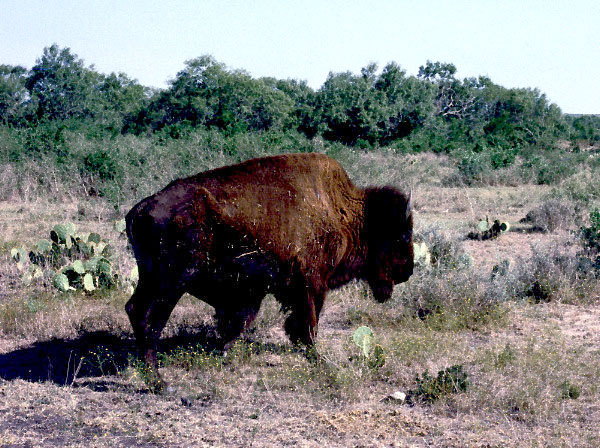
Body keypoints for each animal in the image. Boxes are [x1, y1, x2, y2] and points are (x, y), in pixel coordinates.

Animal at [124, 152, 410, 386]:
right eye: (400, 236)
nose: (407, 272)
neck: (342, 212)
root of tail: (141, 209)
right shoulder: (310, 286)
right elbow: (306, 327)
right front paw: (319, 362)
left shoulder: (259, 294)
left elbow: (243, 323)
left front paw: (224, 353)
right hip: (172, 282)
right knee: (150, 318)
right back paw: (158, 381)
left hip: (151, 278)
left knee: (134, 309)